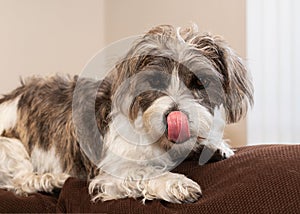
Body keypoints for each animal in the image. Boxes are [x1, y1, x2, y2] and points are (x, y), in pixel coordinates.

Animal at [0, 24, 253, 203]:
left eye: (199, 83)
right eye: (155, 82)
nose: (173, 117)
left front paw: (213, 145)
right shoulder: (113, 172)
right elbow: (145, 172)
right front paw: (175, 182)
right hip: (10, 147)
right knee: (19, 180)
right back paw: (48, 180)